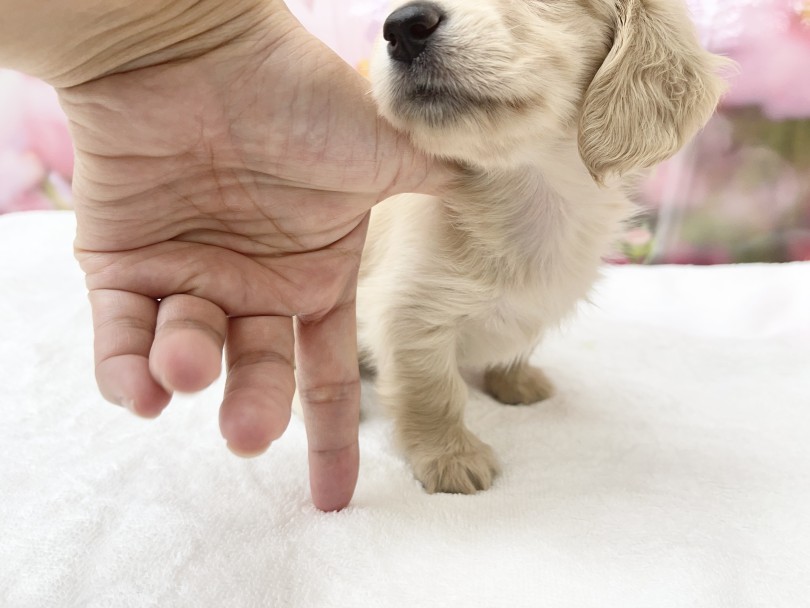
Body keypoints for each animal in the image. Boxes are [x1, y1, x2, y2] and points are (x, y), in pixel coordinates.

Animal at [356, 0, 724, 494]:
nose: (401, 26)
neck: (532, 197)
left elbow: (522, 342)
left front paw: (515, 380)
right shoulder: (406, 318)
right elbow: (433, 393)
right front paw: (451, 456)